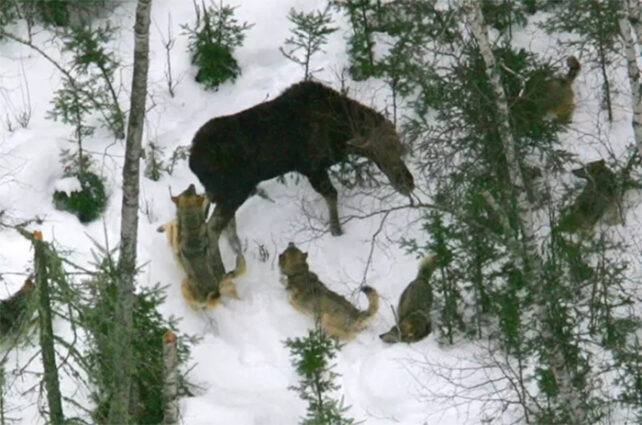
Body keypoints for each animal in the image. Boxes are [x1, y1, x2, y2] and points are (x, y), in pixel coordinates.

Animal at [188, 81, 412, 276]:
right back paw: (219, 269)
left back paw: (236, 251)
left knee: (220, 220)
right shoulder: (312, 167)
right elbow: (332, 195)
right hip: (234, 191)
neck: (339, 134)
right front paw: (336, 231)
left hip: (221, 192)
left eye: (399, 147)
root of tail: (193, 162)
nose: (408, 183)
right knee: (212, 227)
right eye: (379, 150)